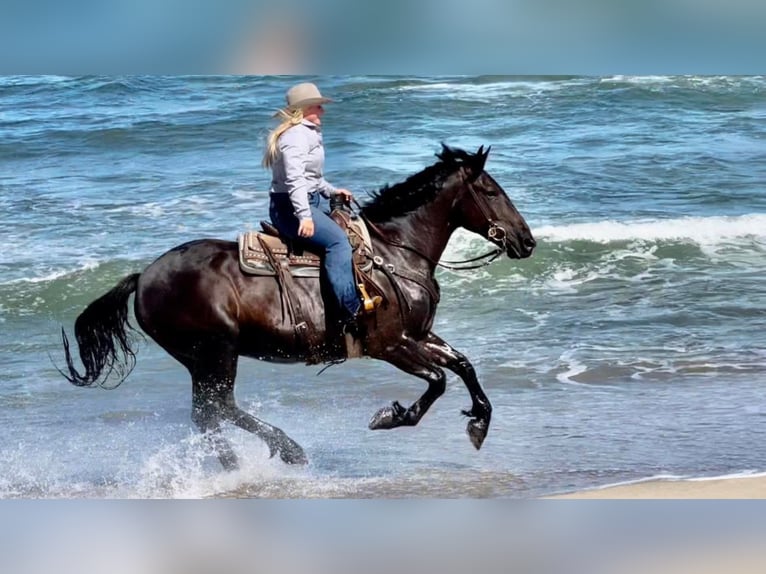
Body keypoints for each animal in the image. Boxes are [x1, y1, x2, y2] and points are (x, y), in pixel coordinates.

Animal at [61, 145, 536, 472]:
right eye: (491, 191)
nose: (527, 241)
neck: (394, 253)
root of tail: (144, 277)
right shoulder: (389, 344)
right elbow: (438, 380)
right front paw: (390, 416)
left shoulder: (416, 336)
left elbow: (463, 364)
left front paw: (478, 424)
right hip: (217, 352)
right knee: (216, 409)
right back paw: (279, 453)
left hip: (201, 359)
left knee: (209, 414)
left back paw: (246, 463)